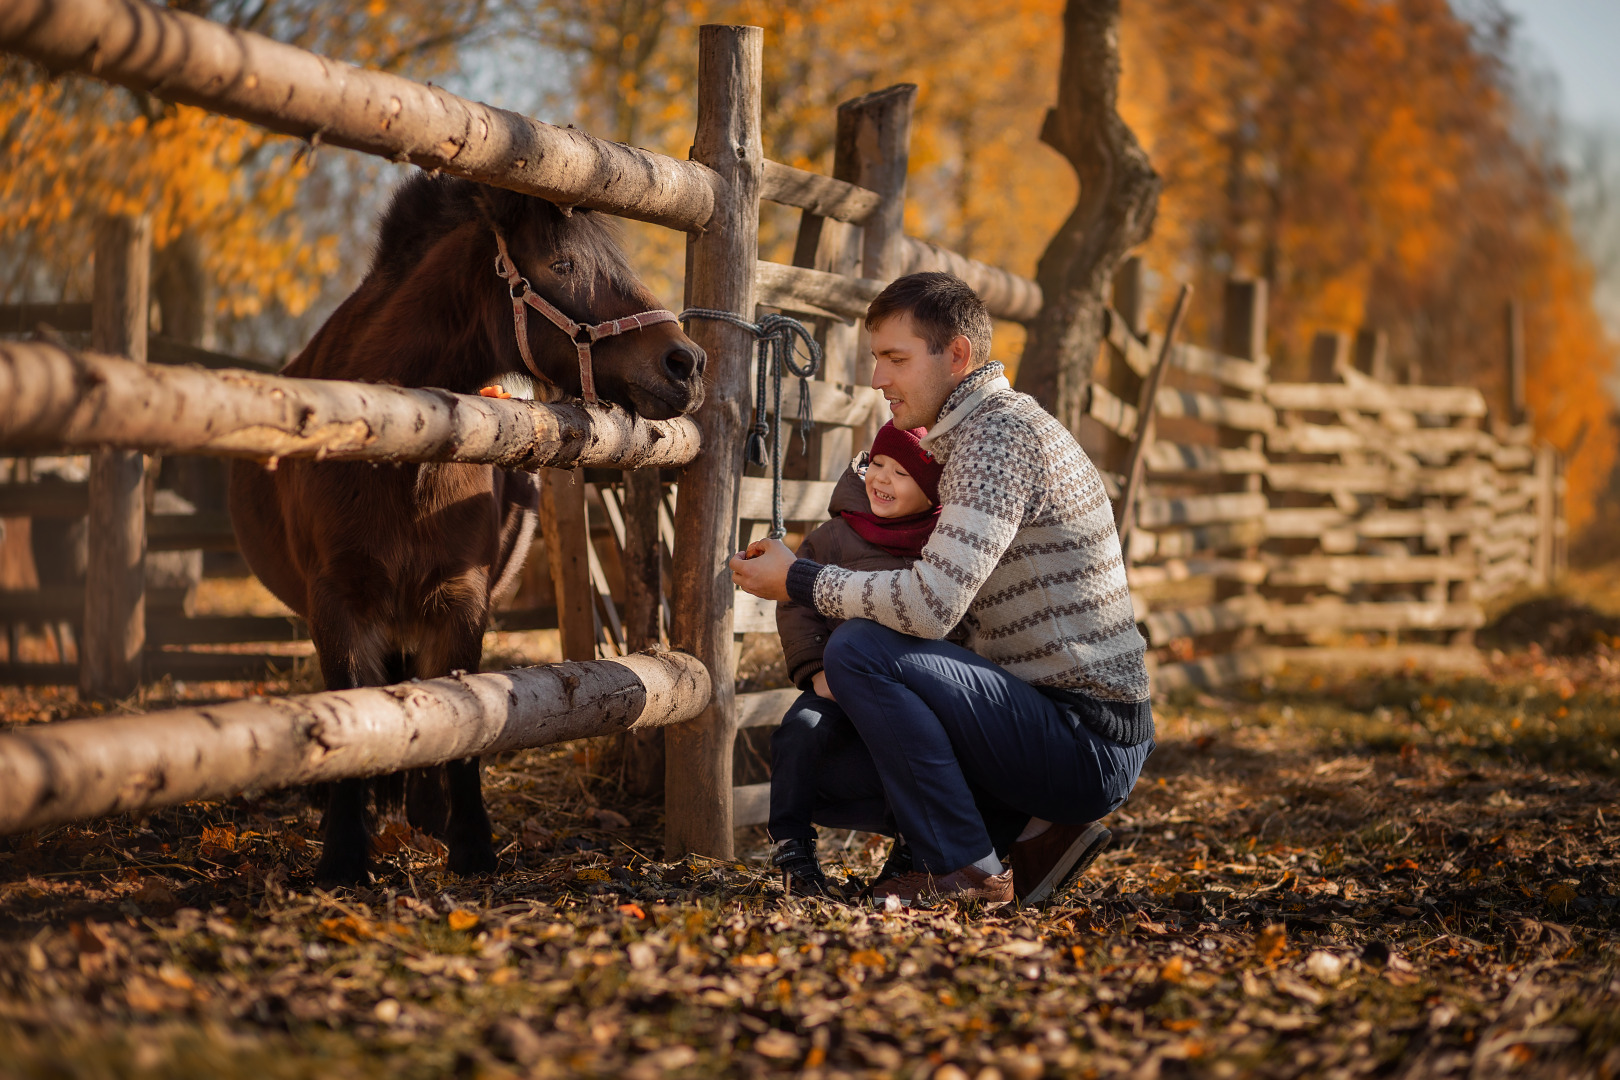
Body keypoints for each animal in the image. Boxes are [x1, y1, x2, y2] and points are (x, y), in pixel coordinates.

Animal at [228, 175, 703, 887]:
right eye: (563, 265)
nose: (687, 363)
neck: (398, 448)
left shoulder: (461, 600)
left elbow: (469, 722)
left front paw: (469, 845)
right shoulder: (337, 604)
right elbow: (349, 716)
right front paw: (344, 854)